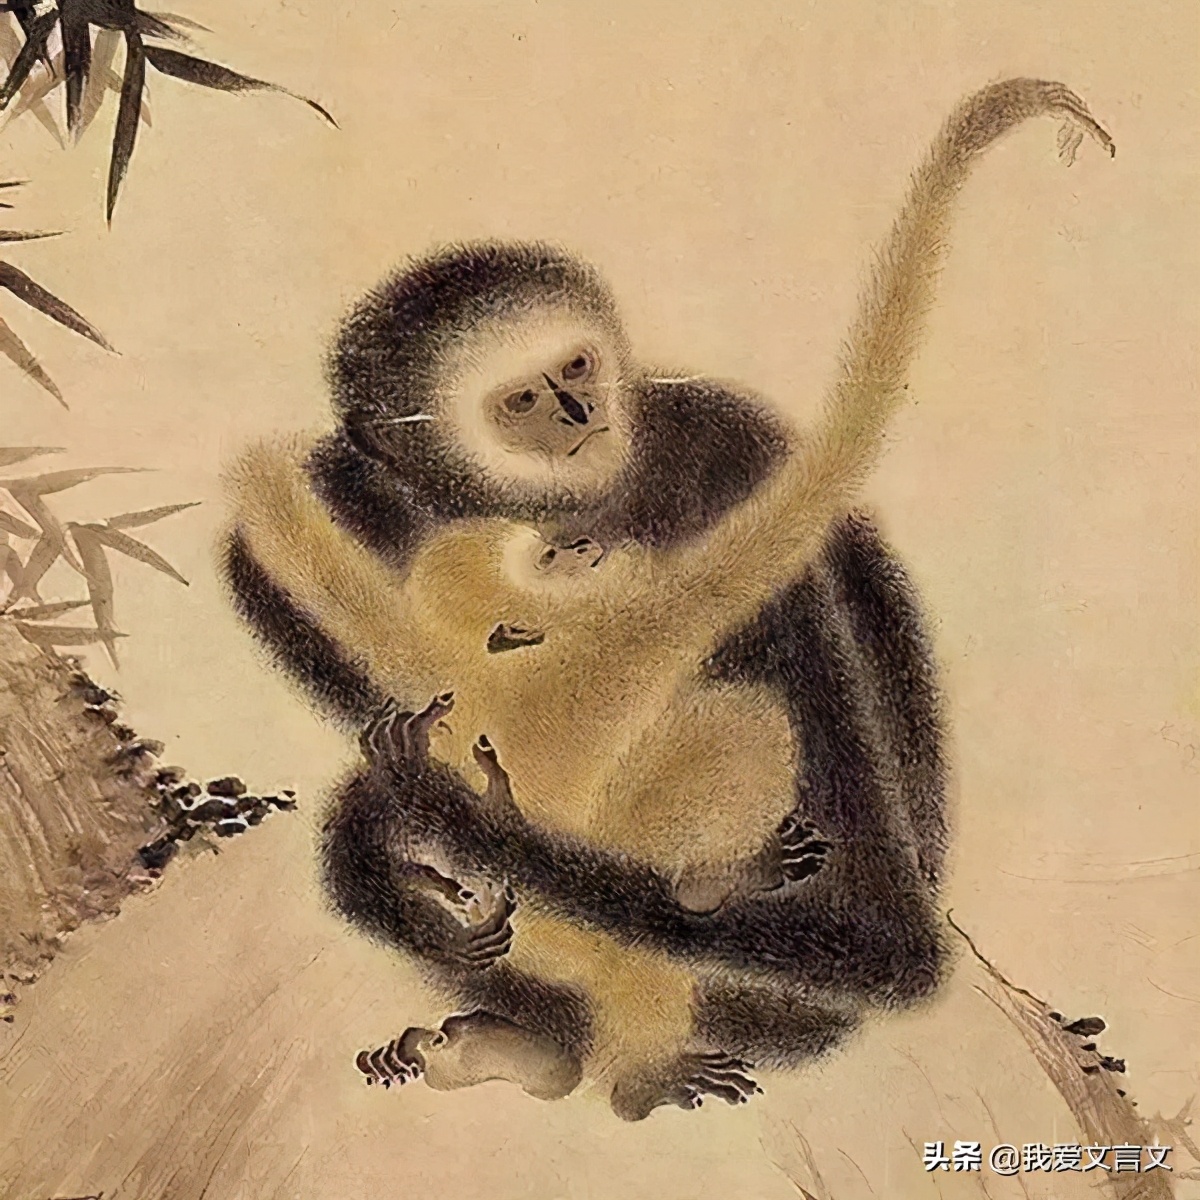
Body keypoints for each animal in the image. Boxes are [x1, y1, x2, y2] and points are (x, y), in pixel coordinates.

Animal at [221, 80, 1114, 1119]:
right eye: (522, 401)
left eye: (575, 369)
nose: (580, 415)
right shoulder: (373, 491)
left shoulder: (727, 443)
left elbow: (884, 944)